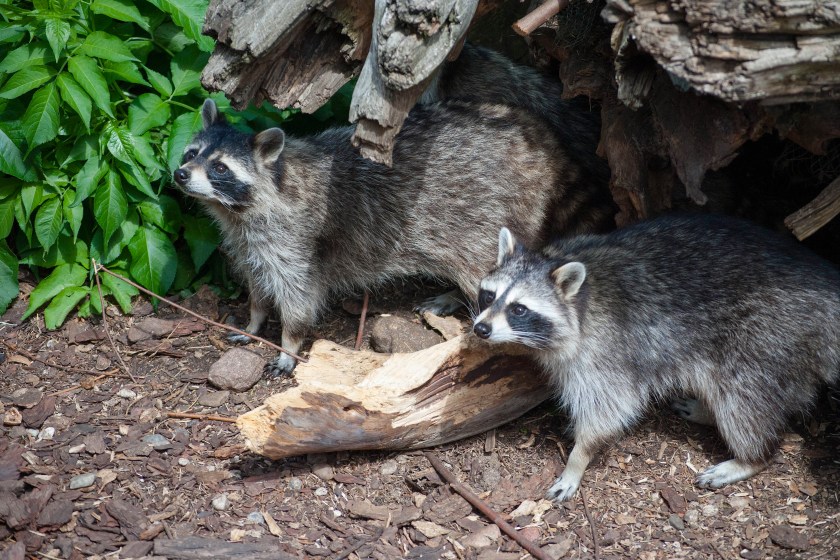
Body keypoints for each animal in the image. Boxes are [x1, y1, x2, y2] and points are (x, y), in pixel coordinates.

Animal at [173, 98, 614, 375]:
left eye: (220, 168)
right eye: (191, 154)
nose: (179, 174)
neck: (237, 210)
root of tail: (539, 138)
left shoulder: (296, 241)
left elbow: (299, 298)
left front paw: (289, 344)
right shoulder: (249, 243)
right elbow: (258, 286)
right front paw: (255, 320)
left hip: (495, 212)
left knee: (483, 267)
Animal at [473, 214, 840, 501]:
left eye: (519, 309)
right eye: (489, 296)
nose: (480, 329)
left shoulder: (608, 349)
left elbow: (609, 410)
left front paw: (578, 459)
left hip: (765, 339)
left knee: (743, 401)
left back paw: (750, 457)